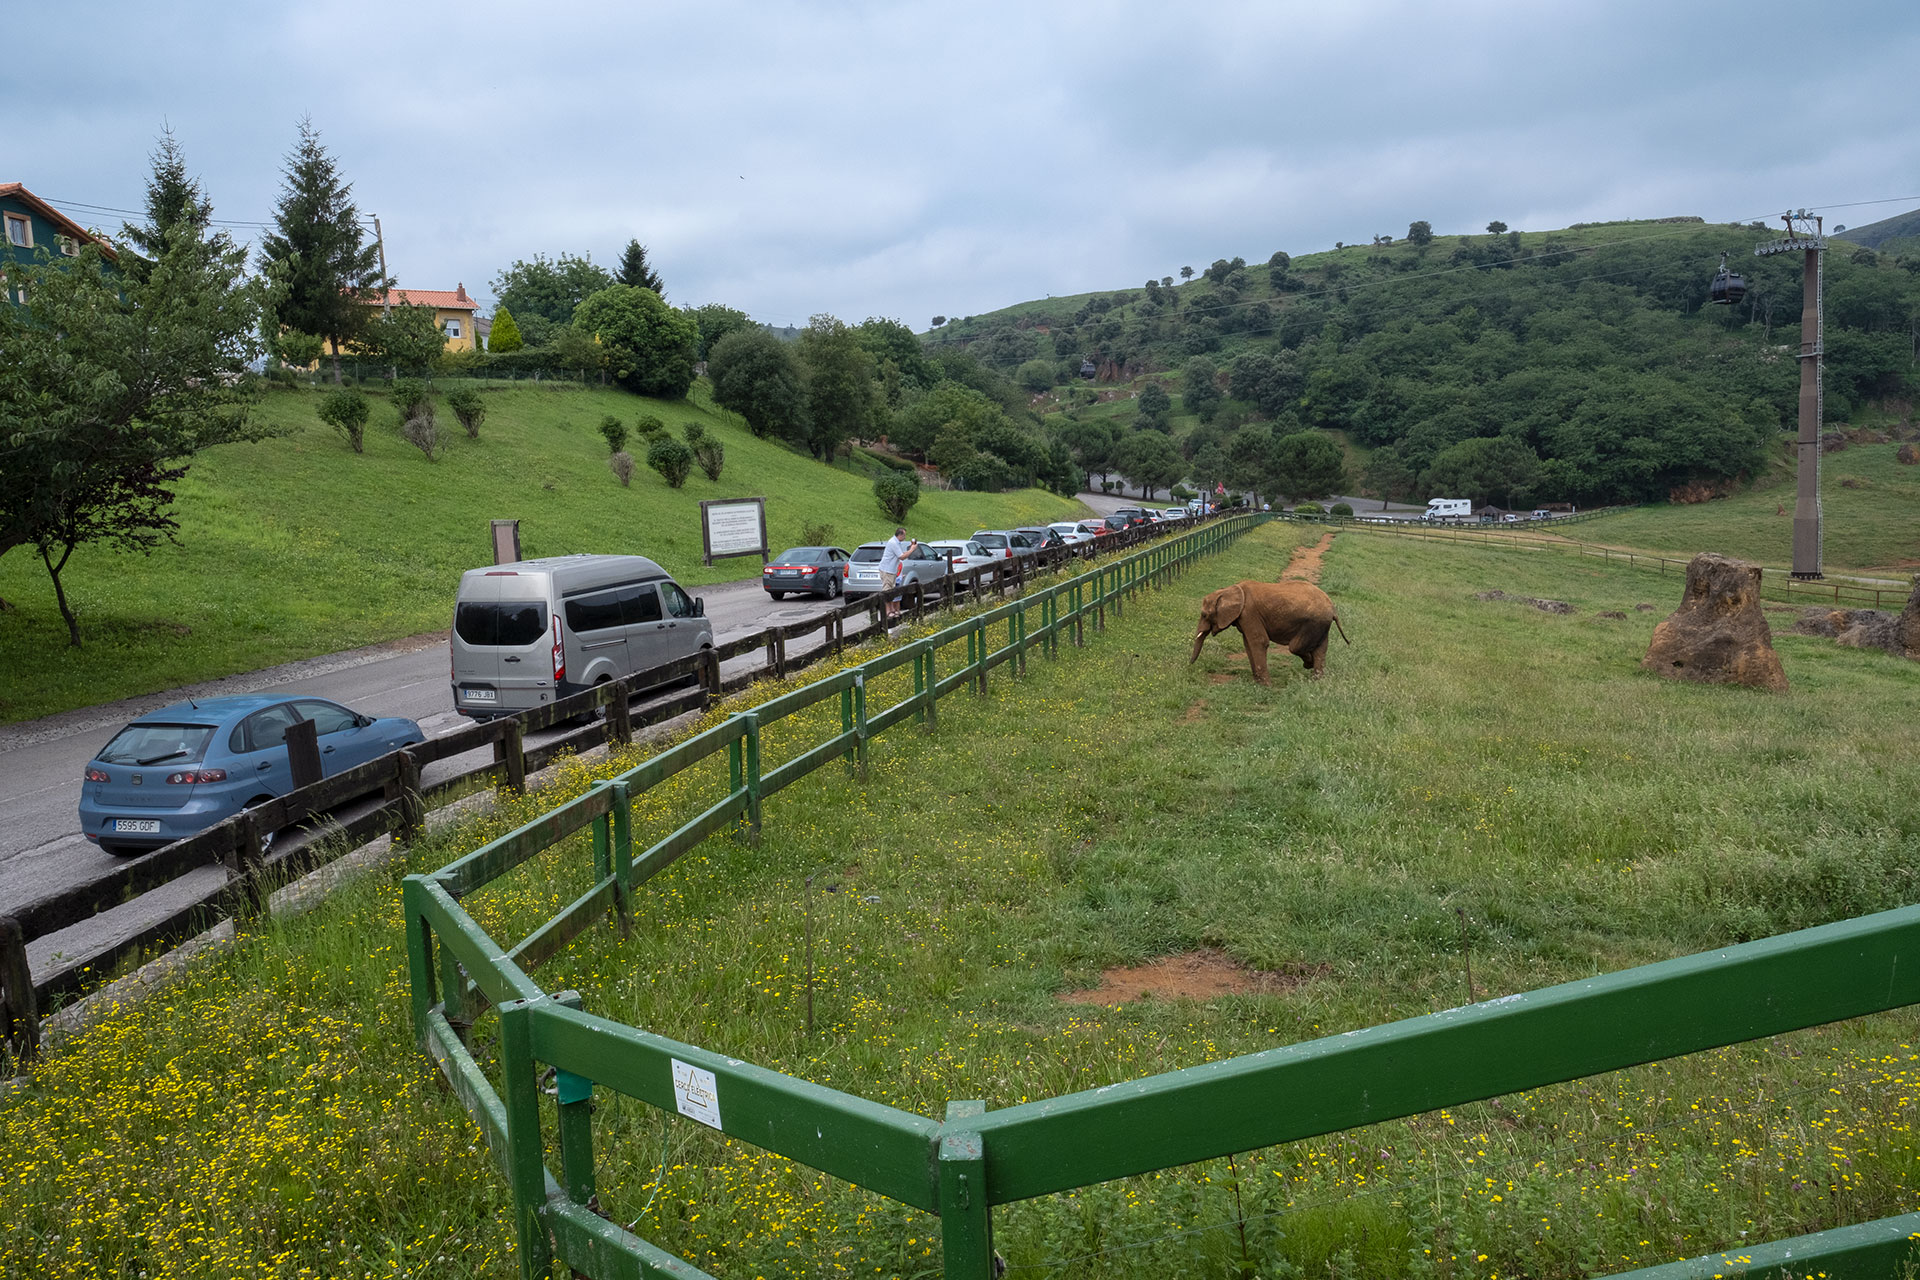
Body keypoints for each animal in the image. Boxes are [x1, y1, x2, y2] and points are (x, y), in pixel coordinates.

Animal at [1182, 579, 1351, 679]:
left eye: (1204, 615)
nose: (1189, 666)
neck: (1228, 590)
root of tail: (1333, 608)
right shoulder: (1244, 617)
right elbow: (1248, 644)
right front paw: (1256, 680)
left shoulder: (1249, 613)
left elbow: (1259, 642)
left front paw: (1264, 685)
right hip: (1321, 624)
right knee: (1321, 649)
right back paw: (1317, 679)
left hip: (1314, 623)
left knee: (1295, 647)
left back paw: (1308, 665)